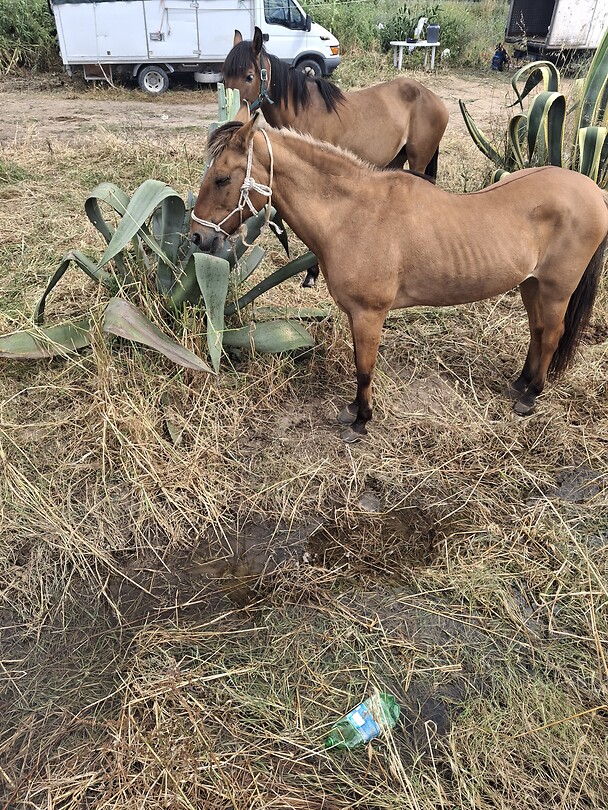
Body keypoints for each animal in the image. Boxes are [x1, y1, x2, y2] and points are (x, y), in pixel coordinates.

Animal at [190, 115, 608, 443]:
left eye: (222, 178)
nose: (196, 238)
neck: (353, 214)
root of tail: (593, 191)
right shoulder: (357, 315)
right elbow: (360, 364)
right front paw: (353, 411)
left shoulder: (369, 314)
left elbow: (364, 368)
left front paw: (361, 421)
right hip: (530, 284)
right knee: (537, 332)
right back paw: (520, 384)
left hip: (555, 289)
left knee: (551, 335)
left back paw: (530, 396)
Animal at [223, 27, 449, 288]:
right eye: (224, 76)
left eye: (249, 76)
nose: (234, 117)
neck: (305, 112)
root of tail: (432, 97)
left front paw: (311, 273)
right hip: (397, 160)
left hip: (419, 160)